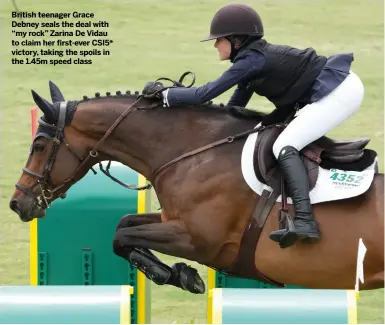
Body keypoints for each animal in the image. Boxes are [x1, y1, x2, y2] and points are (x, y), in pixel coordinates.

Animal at [9, 79, 384, 294]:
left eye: (38, 145)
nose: (17, 203)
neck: (194, 151)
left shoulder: (197, 239)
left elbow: (124, 234)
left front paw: (179, 275)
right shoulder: (173, 220)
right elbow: (123, 227)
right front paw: (177, 274)